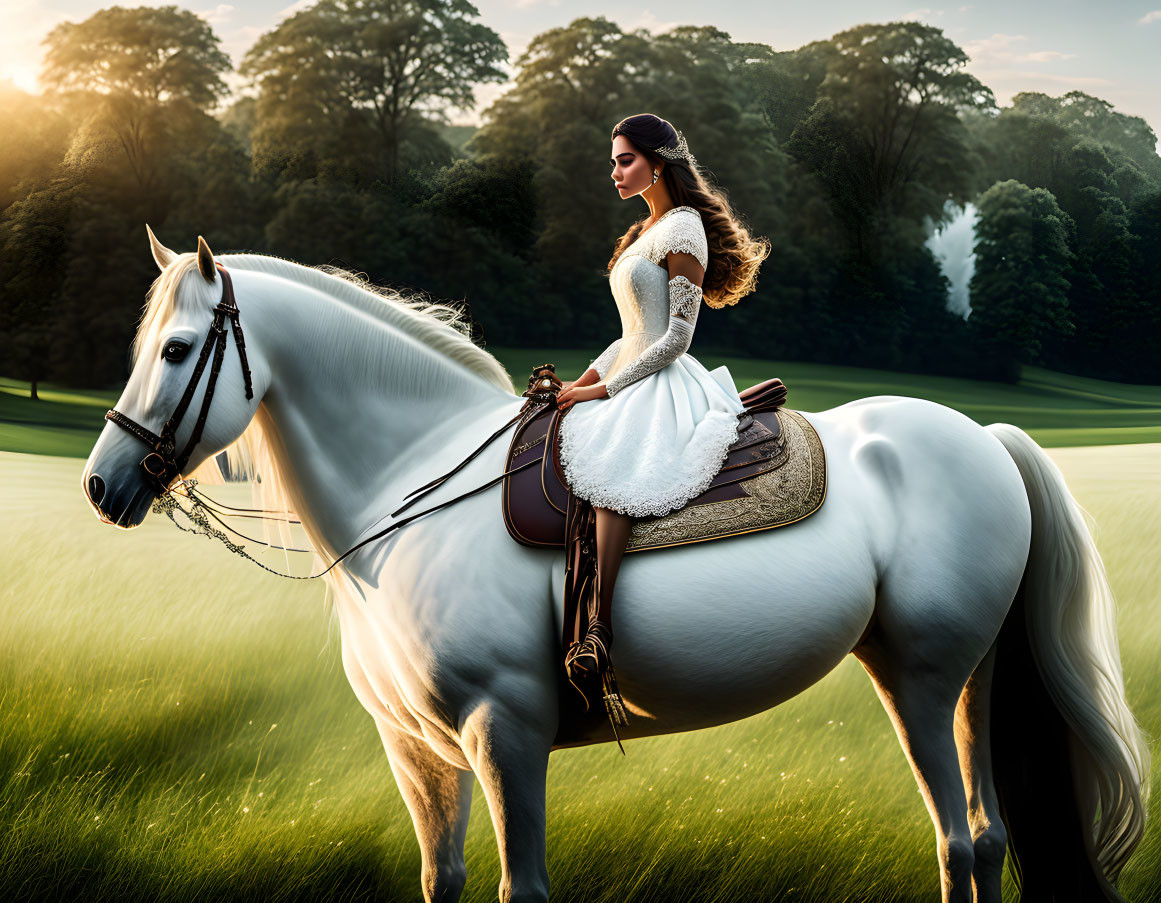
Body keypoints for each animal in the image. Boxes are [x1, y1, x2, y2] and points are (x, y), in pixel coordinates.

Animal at [84, 234, 1151, 900]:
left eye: (176, 349)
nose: (101, 485)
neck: (409, 488)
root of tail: (982, 438)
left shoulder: (502, 735)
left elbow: (522, 885)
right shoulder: (416, 752)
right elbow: (441, 878)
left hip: (918, 680)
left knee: (957, 843)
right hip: (968, 679)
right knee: (990, 835)